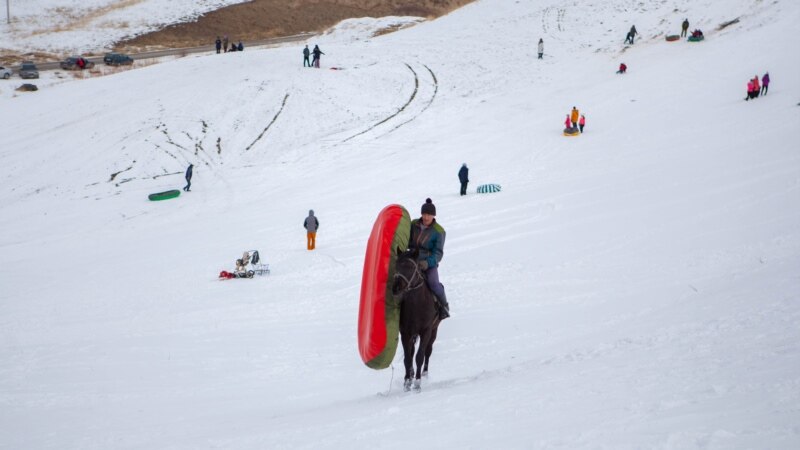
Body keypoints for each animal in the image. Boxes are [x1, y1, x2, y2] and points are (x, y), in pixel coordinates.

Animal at [390, 250, 440, 390]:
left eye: (411, 267)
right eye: (396, 265)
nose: (396, 287)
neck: (416, 306)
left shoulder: (426, 331)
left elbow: (420, 356)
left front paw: (417, 383)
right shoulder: (405, 333)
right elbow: (408, 358)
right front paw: (407, 381)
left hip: (434, 330)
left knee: (428, 351)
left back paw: (424, 373)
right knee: (411, 352)